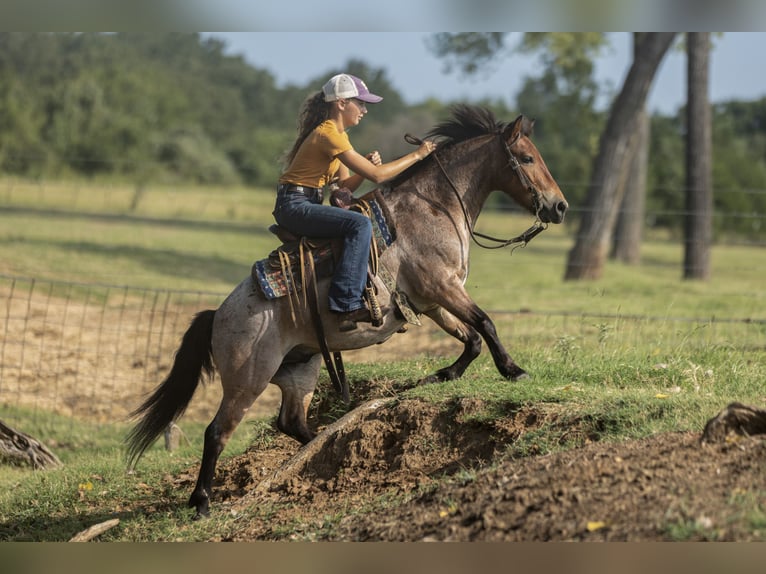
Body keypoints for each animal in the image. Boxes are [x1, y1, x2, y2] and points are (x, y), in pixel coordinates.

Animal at [126, 105, 568, 518]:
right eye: (527, 158)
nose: (560, 206)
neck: (435, 208)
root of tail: (218, 314)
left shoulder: (430, 300)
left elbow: (472, 337)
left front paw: (444, 375)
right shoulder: (441, 286)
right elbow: (486, 323)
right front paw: (512, 369)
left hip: (300, 370)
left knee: (291, 421)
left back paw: (323, 448)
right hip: (247, 382)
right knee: (217, 431)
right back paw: (202, 501)